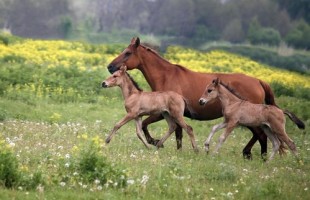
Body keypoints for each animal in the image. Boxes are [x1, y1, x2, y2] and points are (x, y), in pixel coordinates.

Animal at [106, 37, 302, 159]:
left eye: (127, 53)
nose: (110, 67)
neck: (167, 75)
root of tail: (259, 81)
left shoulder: (163, 112)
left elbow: (152, 127)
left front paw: (156, 143)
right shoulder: (167, 113)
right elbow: (175, 132)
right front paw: (168, 147)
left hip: (250, 119)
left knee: (261, 136)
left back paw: (257, 156)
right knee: (261, 136)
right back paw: (252, 154)